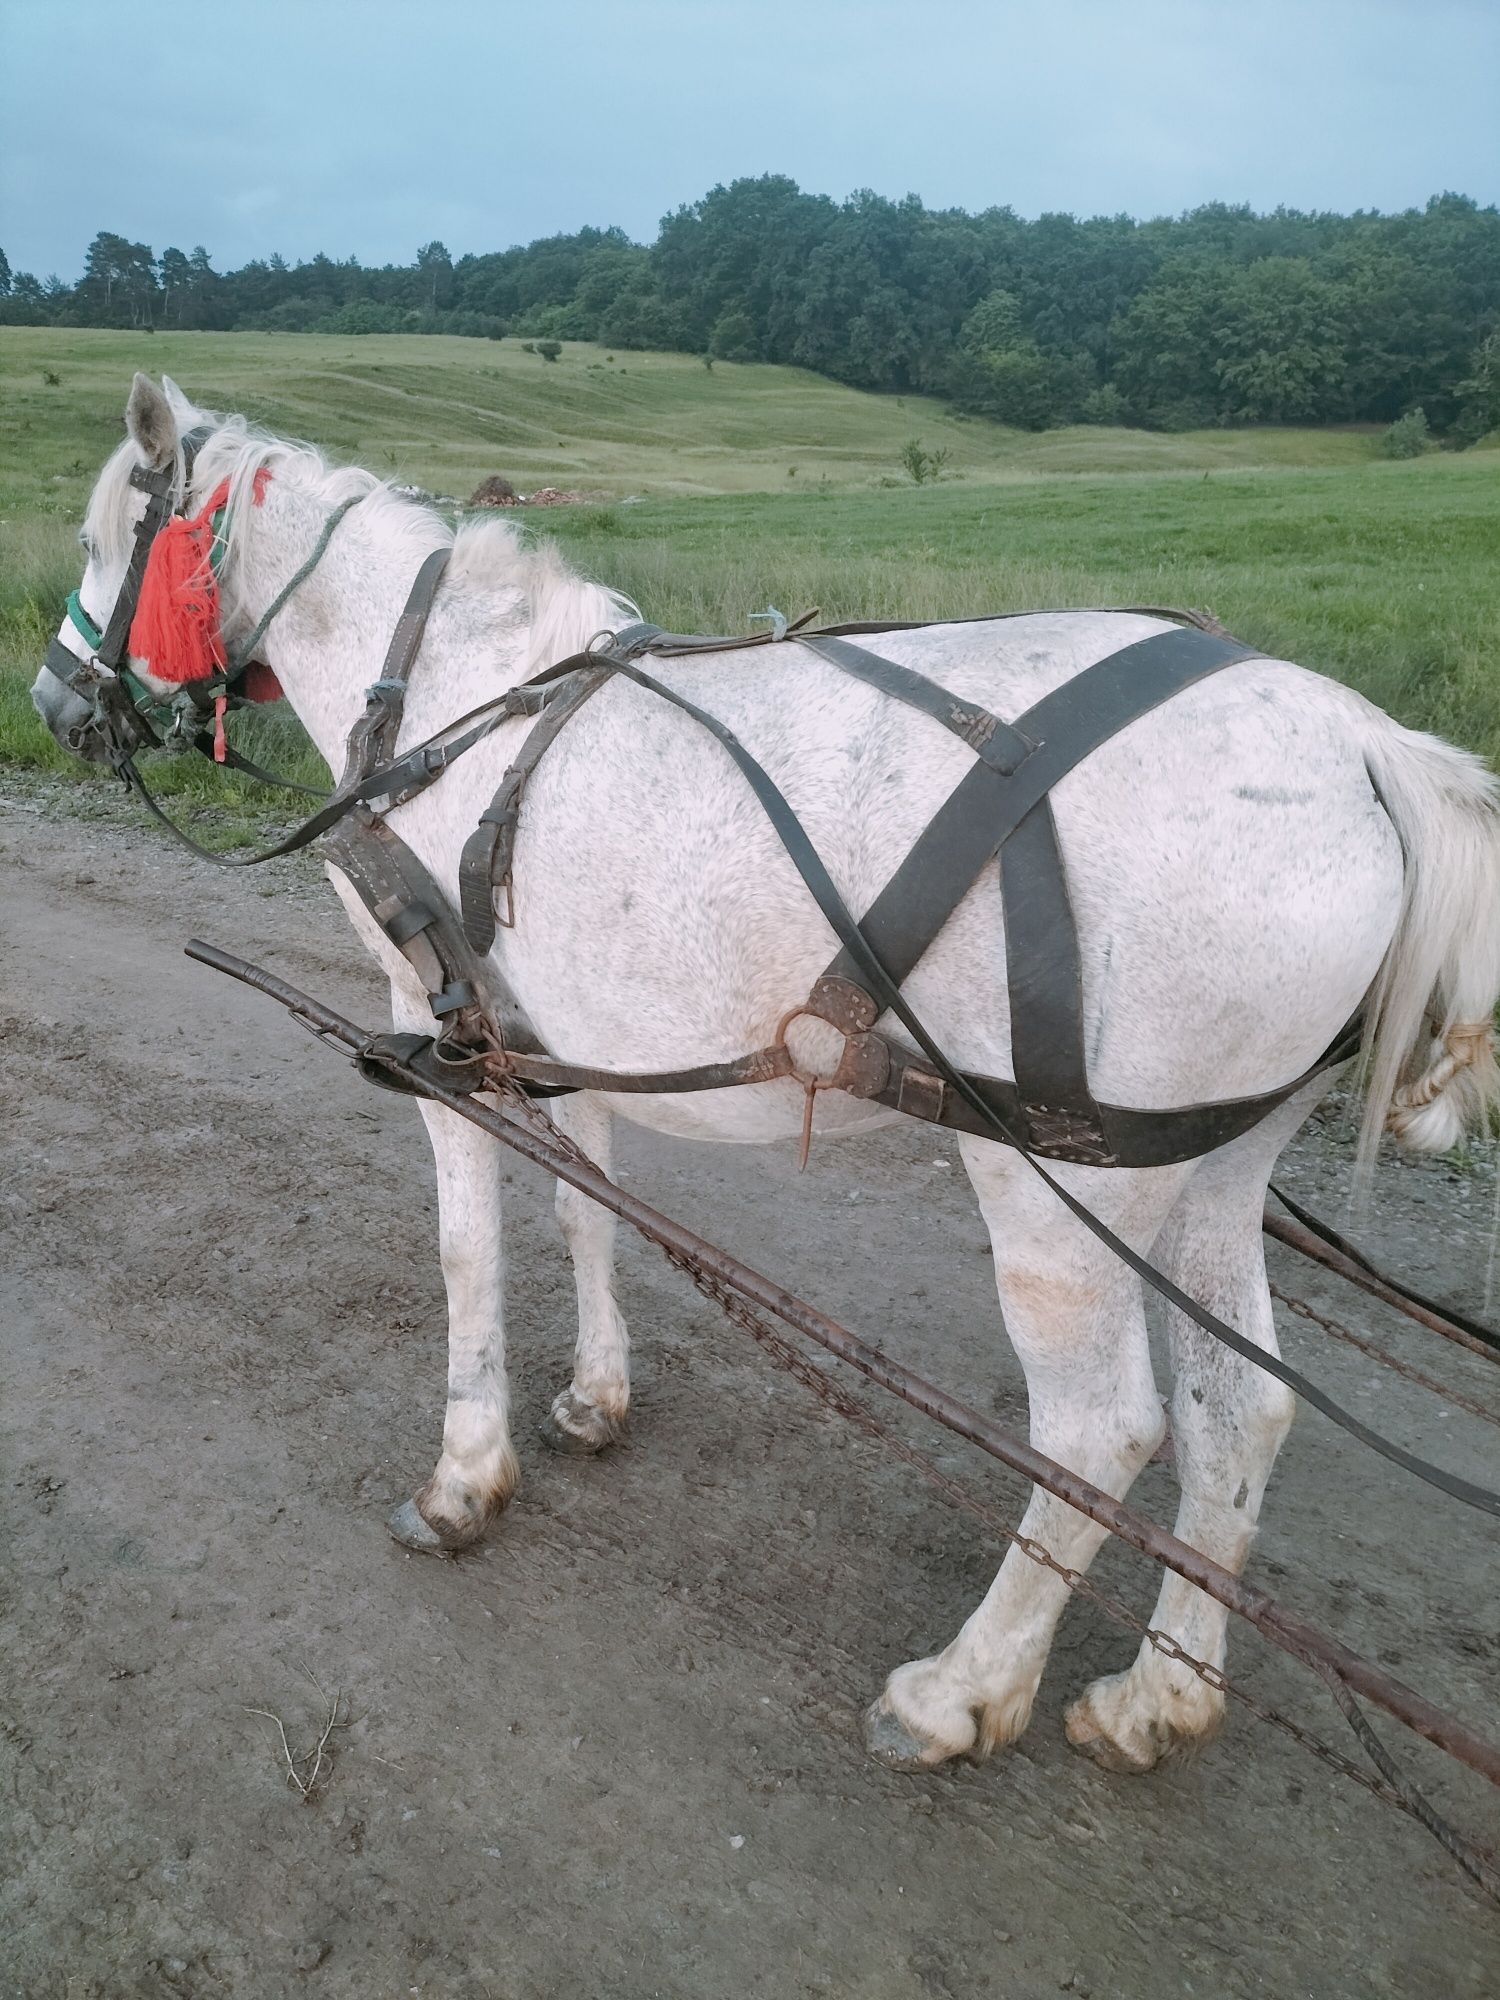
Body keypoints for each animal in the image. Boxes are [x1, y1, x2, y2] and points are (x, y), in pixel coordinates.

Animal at [29, 378, 1500, 1784]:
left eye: (106, 542)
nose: (51, 701)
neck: (447, 689)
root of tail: (1362, 744)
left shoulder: (438, 1026)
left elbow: (467, 1253)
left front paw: (464, 1476)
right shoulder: (558, 1038)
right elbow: (587, 1215)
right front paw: (594, 1397)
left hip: (1058, 1185)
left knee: (1101, 1432)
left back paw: (964, 1689)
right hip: (1206, 1166)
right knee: (1236, 1413)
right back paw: (1158, 1697)